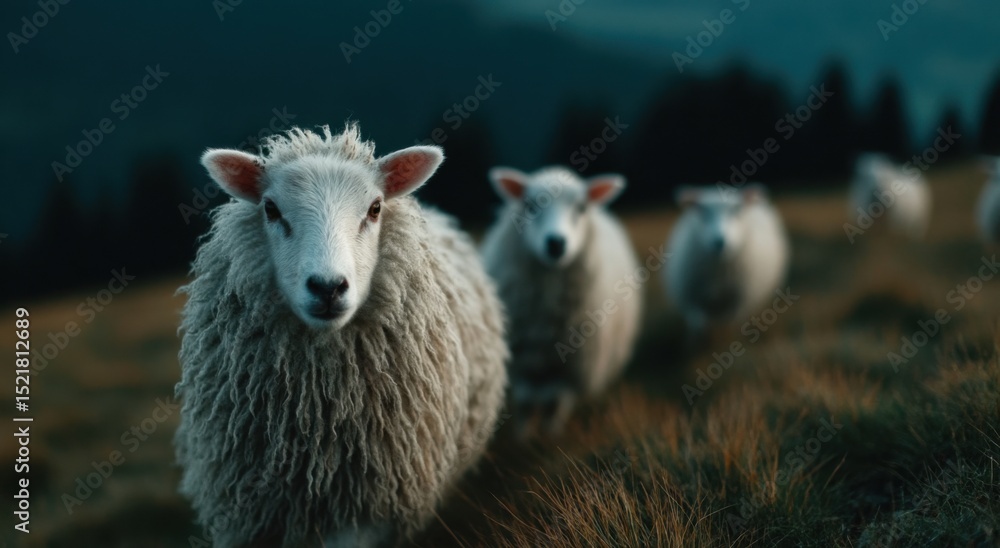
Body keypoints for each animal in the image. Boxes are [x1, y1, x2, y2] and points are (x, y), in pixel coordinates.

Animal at [480, 166, 642, 437]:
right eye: (529, 205)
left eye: (581, 208)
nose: (556, 242)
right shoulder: (520, 363)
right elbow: (525, 401)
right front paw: (523, 436)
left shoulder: (572, 368)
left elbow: (554, 402)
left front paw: (550, 434)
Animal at [664, 184, 789, 336]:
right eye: (702, 212)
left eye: (737, 210)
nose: (719, 242)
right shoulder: (690, 300)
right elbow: (698, 323)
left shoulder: (739, 302)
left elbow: (730, 323)